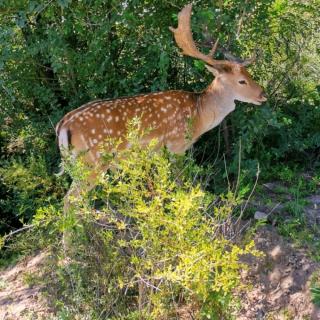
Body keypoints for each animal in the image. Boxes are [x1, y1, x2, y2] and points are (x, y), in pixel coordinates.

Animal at [55, 3, 268, 211]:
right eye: (241, 81)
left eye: (249, 74)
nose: (262, 94)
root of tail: (63, 125)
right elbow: (180, 183)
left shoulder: (158, 152)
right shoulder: (176, 145)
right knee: (69, 200)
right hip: (94, 160)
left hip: (77, 163)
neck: (199, 115)